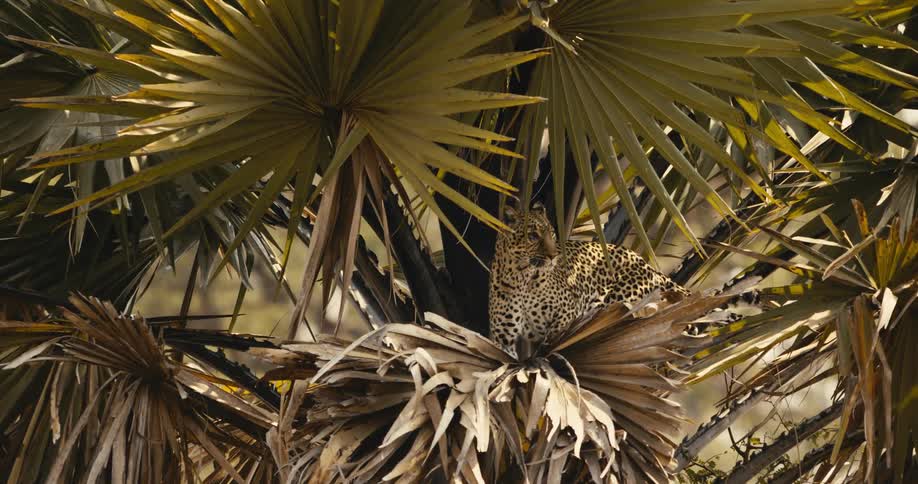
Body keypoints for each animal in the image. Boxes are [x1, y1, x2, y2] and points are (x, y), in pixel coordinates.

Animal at [488, 203, 691, 356]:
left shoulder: (567, 312)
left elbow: (551, 345)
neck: (521, 277)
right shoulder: (503, 337)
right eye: (532, 236)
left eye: (552, 234)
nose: (554, 256)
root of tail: (647, 264)